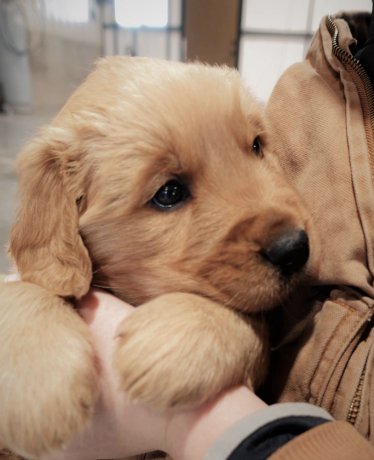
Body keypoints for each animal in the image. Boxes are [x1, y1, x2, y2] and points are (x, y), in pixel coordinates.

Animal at [0, 58, 316, 460]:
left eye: (257, 146)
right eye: (168, 193)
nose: (295, 248)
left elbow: (253, 321)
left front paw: (179, 337)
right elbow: (28, 288)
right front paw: (39, 385)